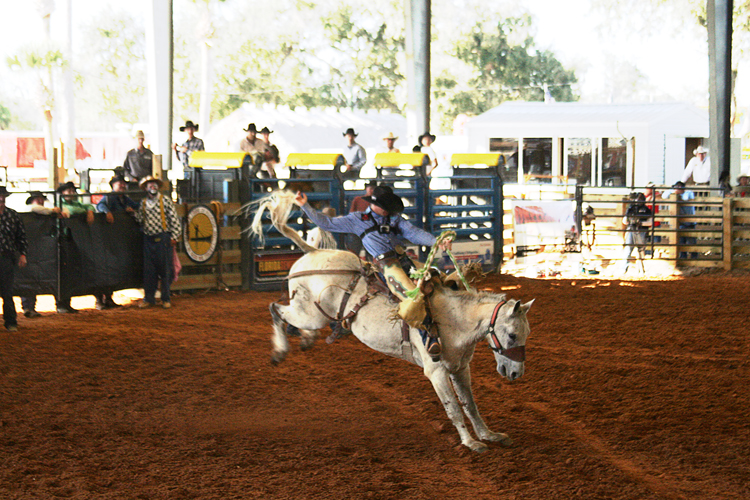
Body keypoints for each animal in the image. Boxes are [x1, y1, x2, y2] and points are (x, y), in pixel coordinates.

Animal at [251, 191, 536, 454]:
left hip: (313, 314)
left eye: (526, 334)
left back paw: (307, 339)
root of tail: (314, 251)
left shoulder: (460, 368)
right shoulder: (436, 372)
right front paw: (470, 442)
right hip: (309, 313)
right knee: (275, 309)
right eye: (512, 335)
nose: (515, 373)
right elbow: (453, 408)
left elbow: (471, 404)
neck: (454, 318)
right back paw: (280, 351)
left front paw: (489, 435)